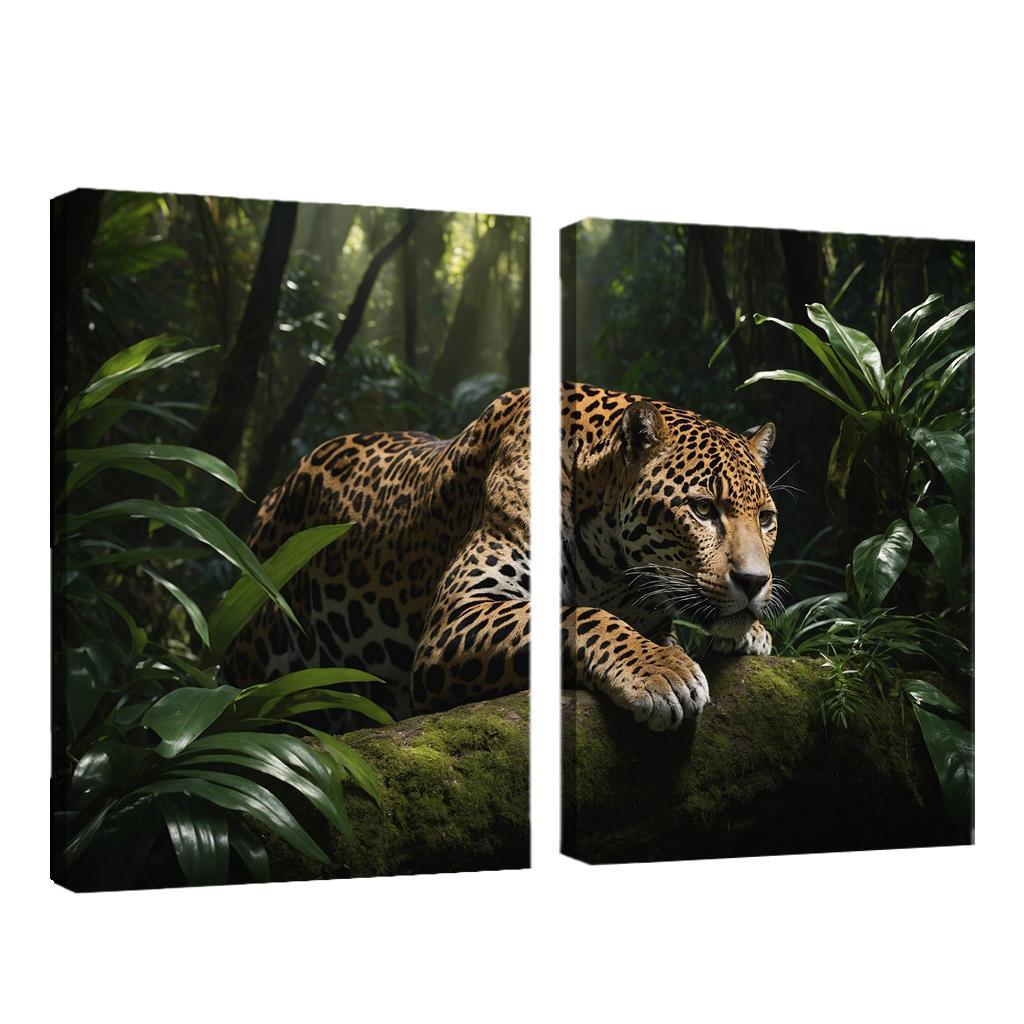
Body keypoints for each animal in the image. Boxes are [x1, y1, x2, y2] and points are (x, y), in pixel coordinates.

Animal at [562, 381, 779, 732]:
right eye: (703, 509)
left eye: (765, 519)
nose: (754, 581)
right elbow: (588, 617)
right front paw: (662, 673)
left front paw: (753, 633)